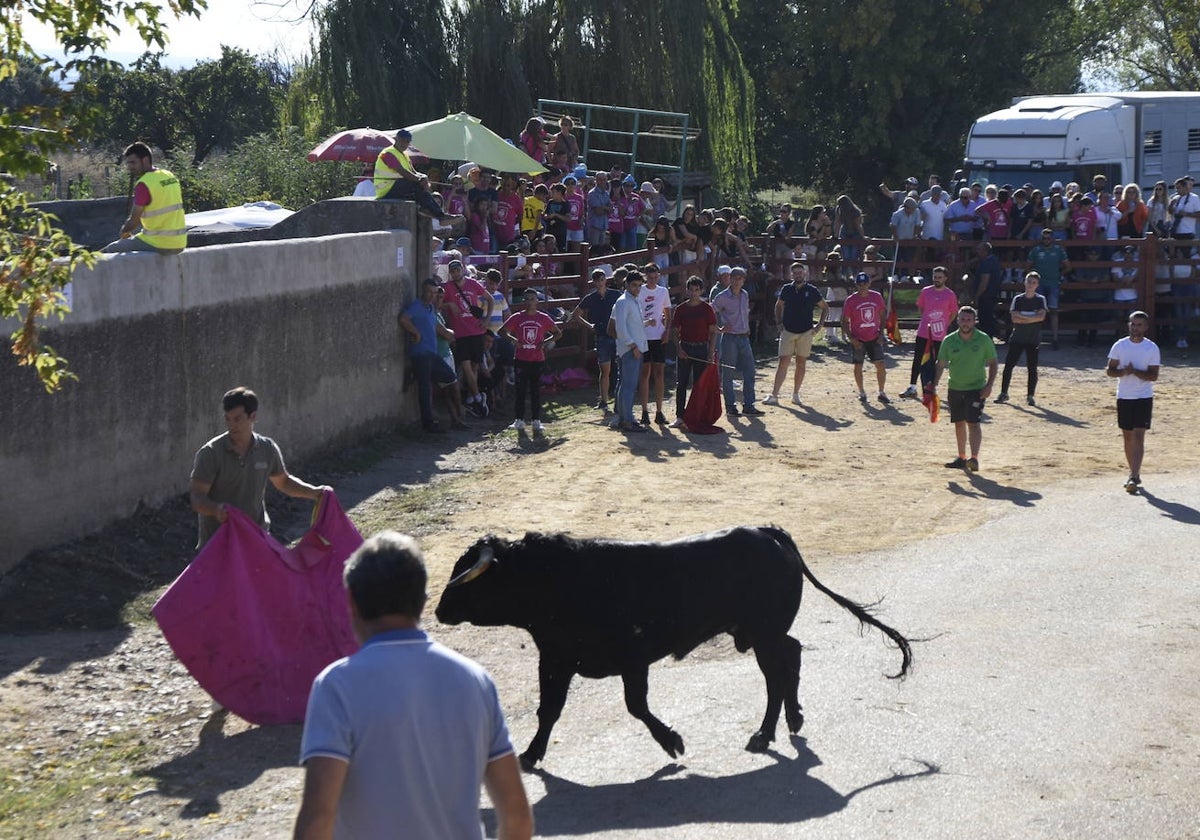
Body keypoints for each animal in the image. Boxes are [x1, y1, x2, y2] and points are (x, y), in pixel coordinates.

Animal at [432, 525, 907, 768]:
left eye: (468, 576)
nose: (438, 609)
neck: (553, 578)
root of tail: (768, 533)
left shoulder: (630, 658)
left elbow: (636, 706)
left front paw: (672, 742)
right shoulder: (556, 658)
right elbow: (549, 710)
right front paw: (531, 755)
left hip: (762, 635)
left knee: (776, 676)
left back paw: (763, 733)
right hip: (764, 633)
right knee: (793, 655)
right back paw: (794, 719)